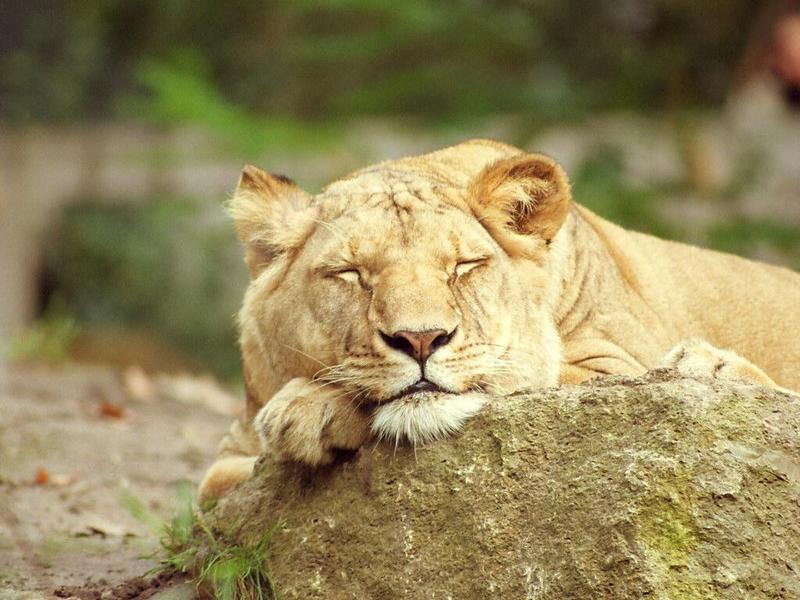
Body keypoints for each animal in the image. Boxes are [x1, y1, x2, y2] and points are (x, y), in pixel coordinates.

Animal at [197, 138, 796, 500]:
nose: (421, 339)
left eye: (464, 266)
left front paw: (310, 407)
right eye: (350, 273)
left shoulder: (617, 364)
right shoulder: (225, 465)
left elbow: (522, 374)